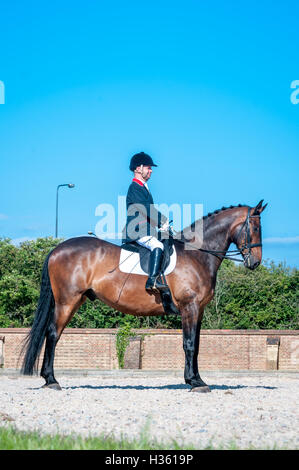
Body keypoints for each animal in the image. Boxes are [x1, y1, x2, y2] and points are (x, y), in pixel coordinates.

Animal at [21, 200, 270, 392]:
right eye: (255, 228)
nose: (255, 263)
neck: (198, 254)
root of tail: (57, 249)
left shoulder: (198, 310)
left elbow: (197, 345)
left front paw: (196, 379)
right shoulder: (189, 307)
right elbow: (189, 344)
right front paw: (194, 382)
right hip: (67, 301)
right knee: (53, 334)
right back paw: (51, 380)